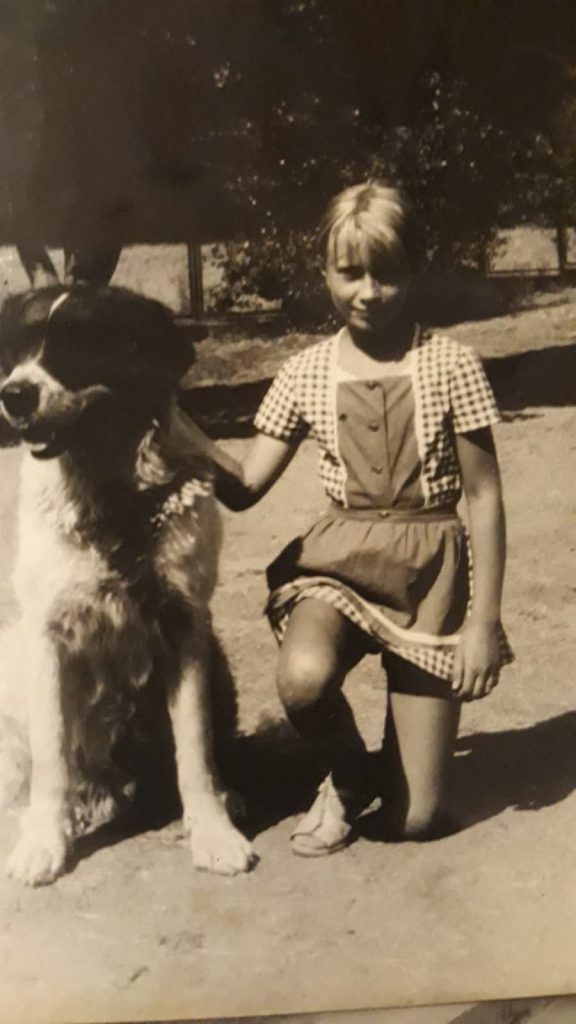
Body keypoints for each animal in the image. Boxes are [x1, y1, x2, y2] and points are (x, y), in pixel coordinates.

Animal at [0, 284, 254, 884]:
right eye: (18, 347)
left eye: (78, 344)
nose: (13, 394)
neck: (112, 495)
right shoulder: (47, 637)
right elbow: (52, 753)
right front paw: (44, 842)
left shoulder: (186, 626)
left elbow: (195, 746)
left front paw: (212, 831)